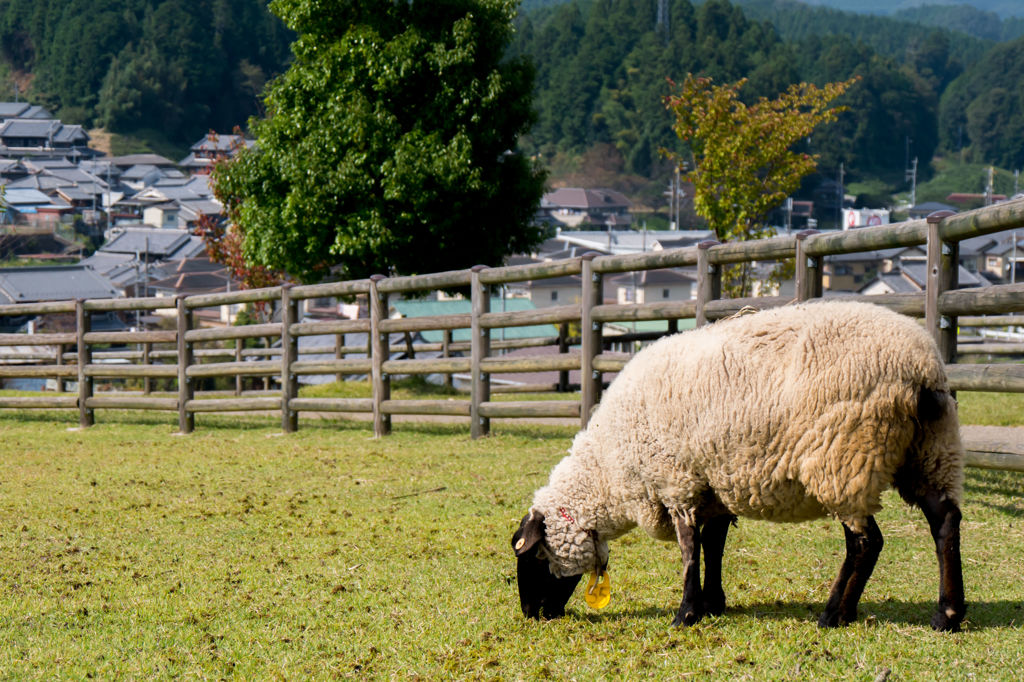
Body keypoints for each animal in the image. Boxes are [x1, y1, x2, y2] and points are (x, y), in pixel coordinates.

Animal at [512, 301, 966, 630]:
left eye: (533, 558)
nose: (532, 614)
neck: (609, 468)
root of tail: (922, 371)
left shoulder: (677, 482)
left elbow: (689, 550)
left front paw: (686, 613)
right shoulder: (711, 486)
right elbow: (714, 545)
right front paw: (713, 604)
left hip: (844, 457)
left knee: (865, 543)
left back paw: (834, 614)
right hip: (929, 450)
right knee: (944, 521)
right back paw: (946, 614)